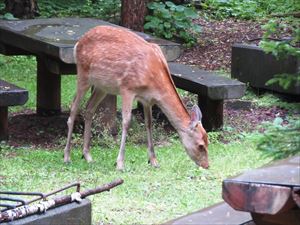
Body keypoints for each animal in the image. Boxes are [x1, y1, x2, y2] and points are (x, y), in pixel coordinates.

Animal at [63, 25, 209, 171]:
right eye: (200, 145)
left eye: (208, 141)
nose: (207, 165)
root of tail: (77, 43)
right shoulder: (127, 88)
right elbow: (126, 122)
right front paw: (120, 163)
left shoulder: (147, 100)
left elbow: (149, 124)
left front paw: (153, 161)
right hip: (83, 74)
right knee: (74, 108)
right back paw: (67, 157)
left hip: (102, 86)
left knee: (89, 108)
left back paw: (87, 155)